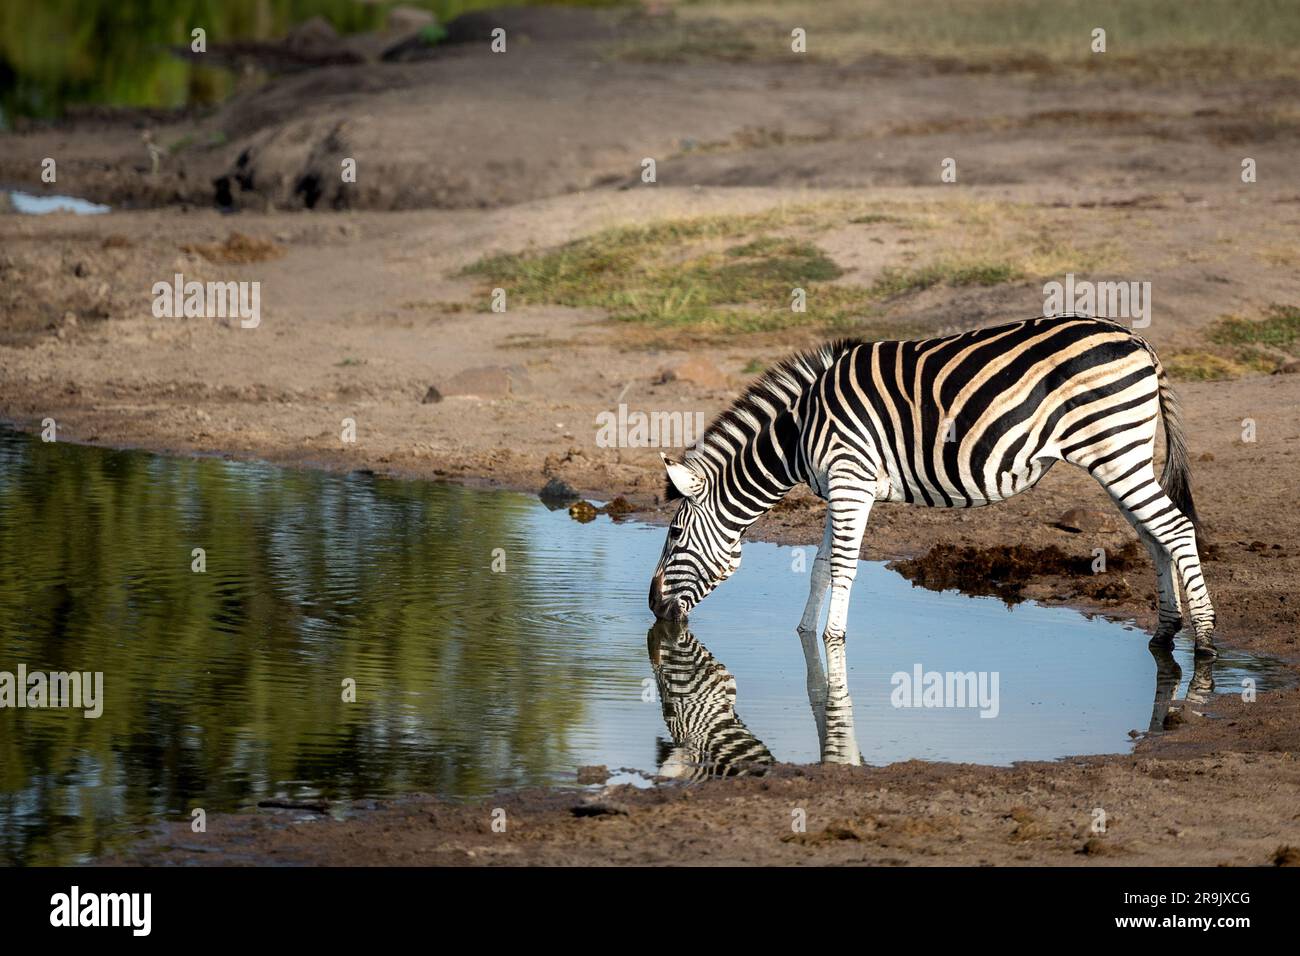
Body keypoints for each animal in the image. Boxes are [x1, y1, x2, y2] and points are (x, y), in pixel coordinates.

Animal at [650, 317, 1216, 764]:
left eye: (674, 532)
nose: (653, 607)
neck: (799, 430)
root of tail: (1139, 341)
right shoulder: (841, 485)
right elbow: (820, 566)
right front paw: (806, 634)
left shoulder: (851, 479)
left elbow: (842, 567)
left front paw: (833, 640)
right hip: (1124, 454)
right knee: (1155, 536)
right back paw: (1166, 633)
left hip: (1112, 449)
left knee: (1175, 528)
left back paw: (1205, 642)